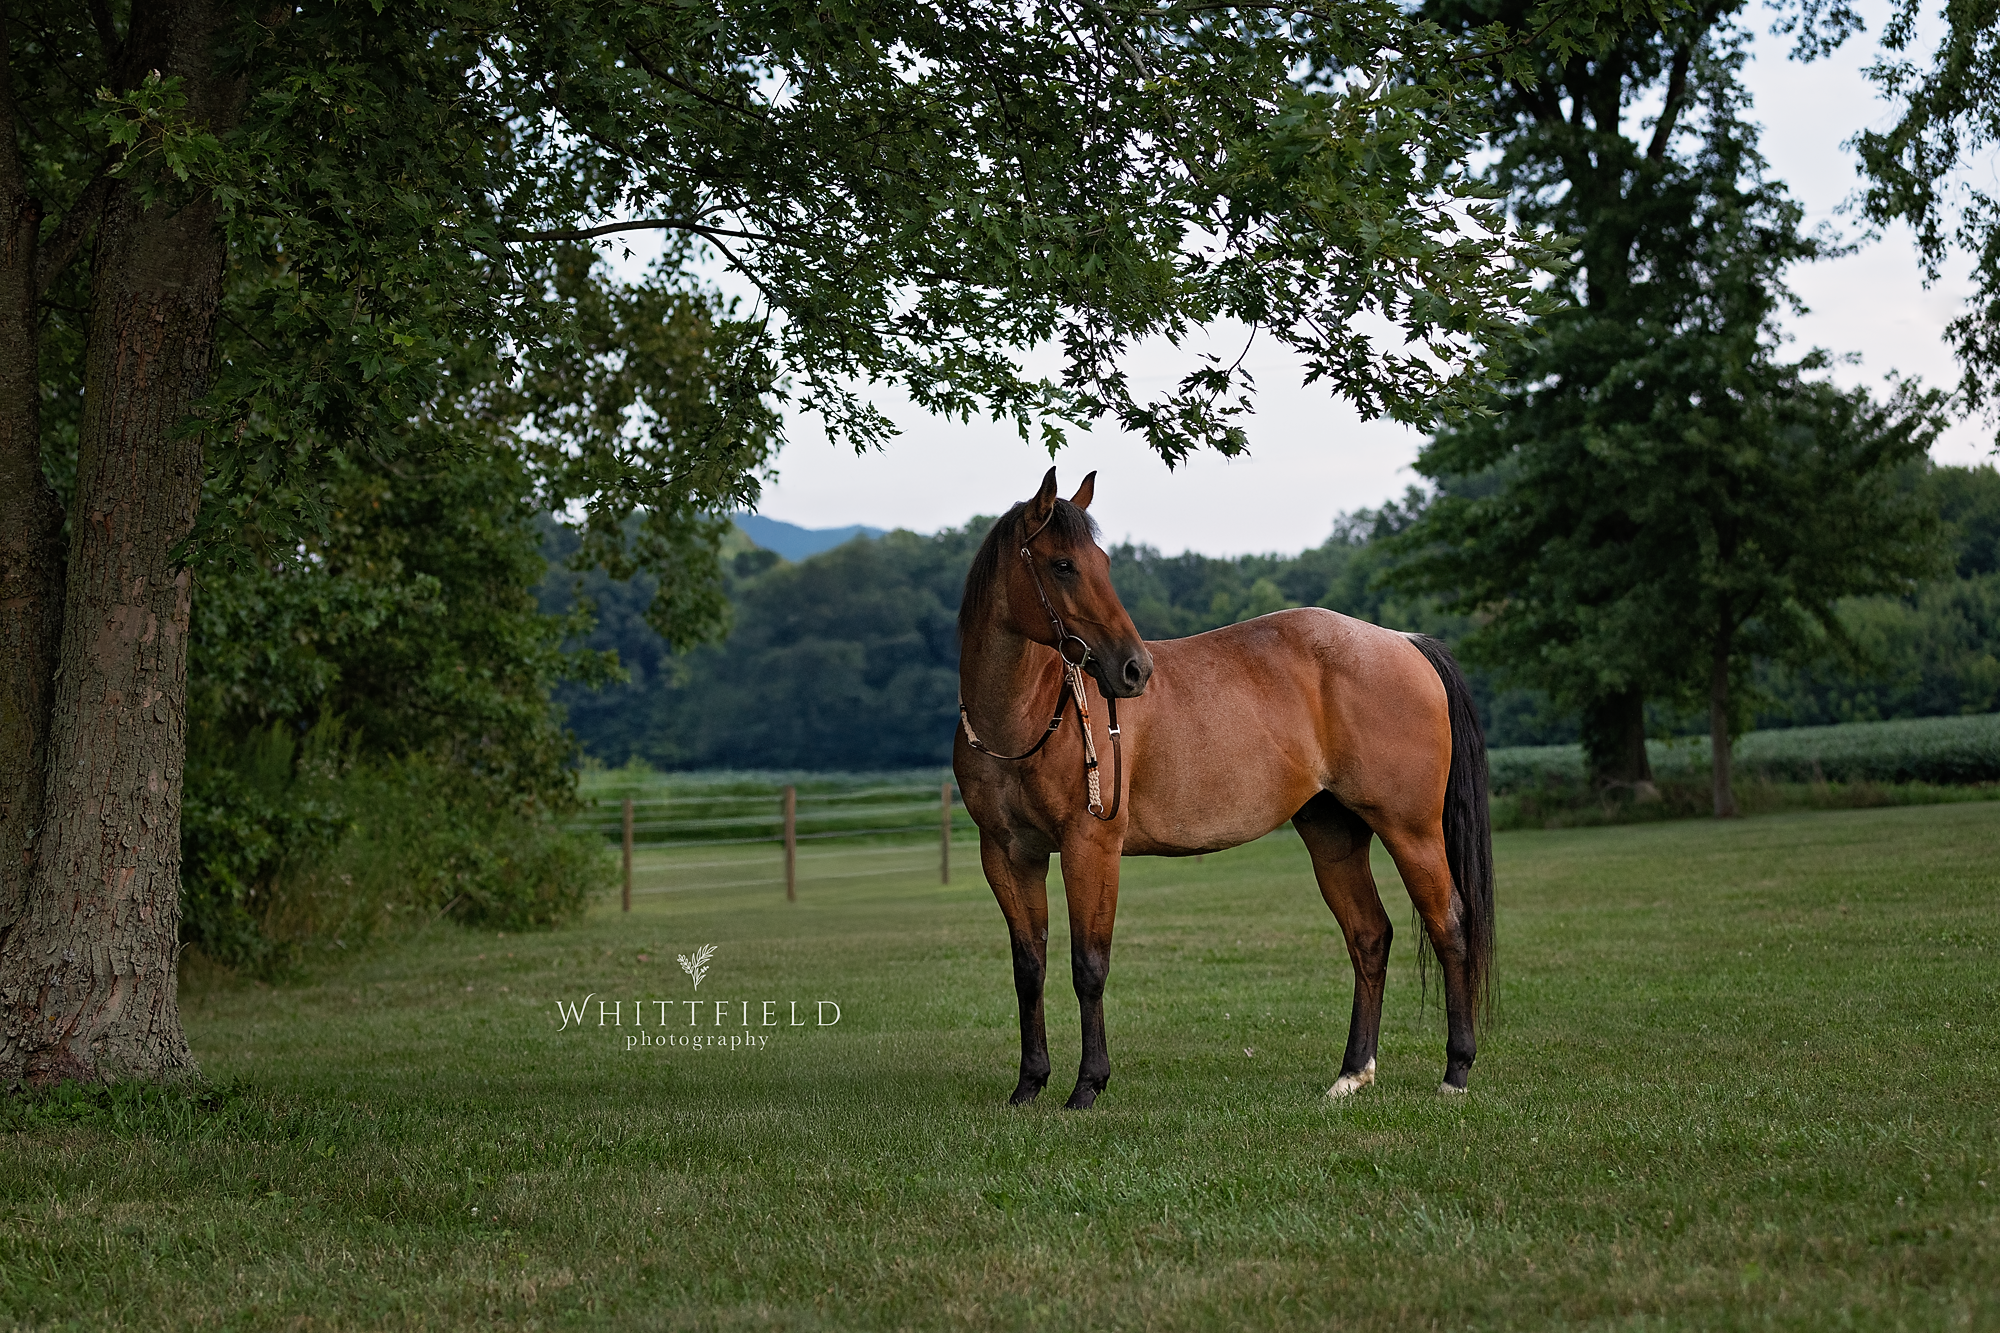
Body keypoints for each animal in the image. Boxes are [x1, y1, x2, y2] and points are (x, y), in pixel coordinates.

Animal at [953, 468, 1495, 1109]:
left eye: (1102, 562)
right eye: (1062, 565)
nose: (1134, 669)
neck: (1028, 716)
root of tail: (1402, 641)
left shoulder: (1090, 847)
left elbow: (1089, 965)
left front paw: (1088, 1085)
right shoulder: (1009, 855)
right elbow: (1029, 967)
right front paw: (1029, 1083)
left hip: (1410, 830)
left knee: (1450, 926)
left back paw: (1456, 1071)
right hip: (1333, 833)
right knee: (1369, 936)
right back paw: (1351, 1072)